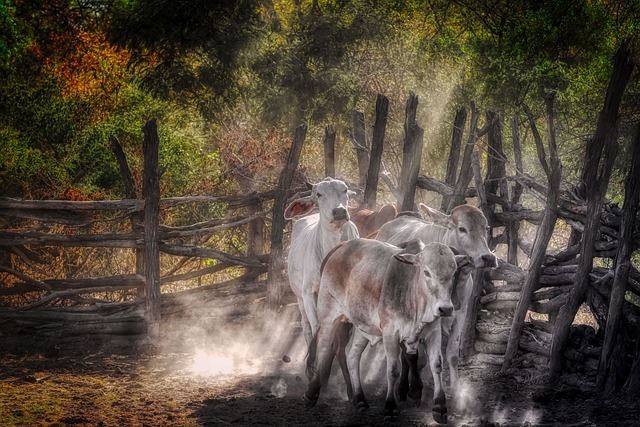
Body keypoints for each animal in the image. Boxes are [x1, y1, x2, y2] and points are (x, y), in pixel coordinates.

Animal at [286, 177, 360, 348]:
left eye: (345, 190)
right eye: (319, 194)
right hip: (299, 298)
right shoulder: (308, 293)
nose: (339, 211)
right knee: (306, 326)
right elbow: (317, 329)